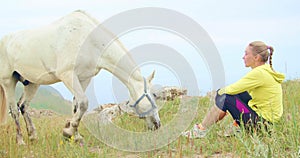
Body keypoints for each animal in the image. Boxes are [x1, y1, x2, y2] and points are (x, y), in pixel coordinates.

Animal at [0, 9, 161, 144]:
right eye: (151, 97)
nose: (157, 125)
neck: (88, 40)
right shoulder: (68, 75)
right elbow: (83, 103)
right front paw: (68, 132)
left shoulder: (84, 78)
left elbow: (77, 106)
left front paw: (74, 136)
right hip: (8, 82)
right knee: (14, 110)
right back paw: (20, 140)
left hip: (33, 82)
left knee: (23, 106)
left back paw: (33, 135)